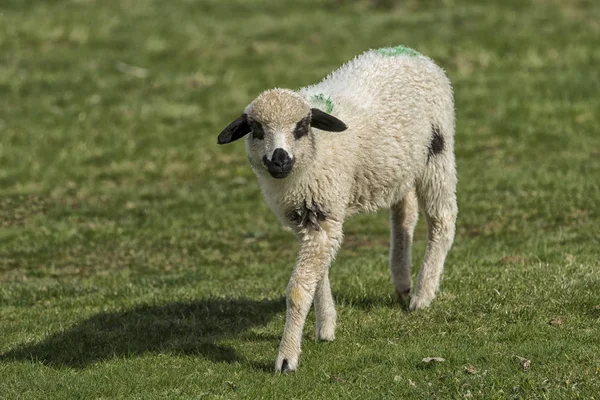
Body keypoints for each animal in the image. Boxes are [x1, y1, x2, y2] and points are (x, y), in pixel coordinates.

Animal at [218, 45, 458, 374]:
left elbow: (298, 289)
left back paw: (422, 295)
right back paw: (402, 282)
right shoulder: (305, 219)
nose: (279, 160)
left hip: (438, 150)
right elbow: (317, 275)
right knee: (404, 214)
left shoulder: (323, 213)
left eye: (302, 127)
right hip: (399, 165)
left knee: (442, 220)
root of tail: (409, 52)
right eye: (256, 129)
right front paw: (326, 327)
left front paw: (287, 358)